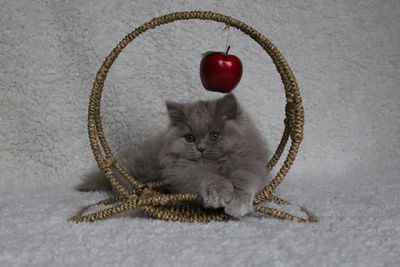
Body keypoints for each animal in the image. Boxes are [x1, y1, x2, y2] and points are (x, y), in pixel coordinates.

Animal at [77, 94, 272, 218]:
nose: (201, 148)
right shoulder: (182, 172)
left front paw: (238, 204)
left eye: (214, 136)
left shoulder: (252, 164)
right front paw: (220, 194)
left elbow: (243, 178)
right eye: (190, 138)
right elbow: (210, 178)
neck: (214, 164)